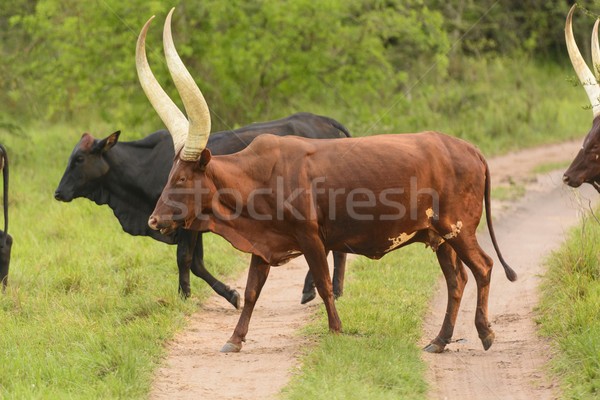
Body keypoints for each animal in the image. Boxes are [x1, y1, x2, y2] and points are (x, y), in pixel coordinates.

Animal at [54, 112, 350, 306]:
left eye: (79, 159)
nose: (58, 192)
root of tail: (325, 121)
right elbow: (196, 262)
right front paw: (227, 294)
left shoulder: (185, 225)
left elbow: (185, 259)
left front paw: (187, 296)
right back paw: (326, 289)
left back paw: (322, 290)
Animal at [137, 8, 516, 354]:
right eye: (169, 175)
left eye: (182, 177)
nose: (154, 220)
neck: (258, 177)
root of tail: (469, 148)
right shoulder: (263, 243)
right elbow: (251, 291)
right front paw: (235, 339)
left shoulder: (311, 237)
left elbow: (322, 283)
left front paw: (335, 330)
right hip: (439, 236)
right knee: (457, 280)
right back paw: (439, 341)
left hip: (458, 229)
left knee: (483, 268)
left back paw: (485, 333)